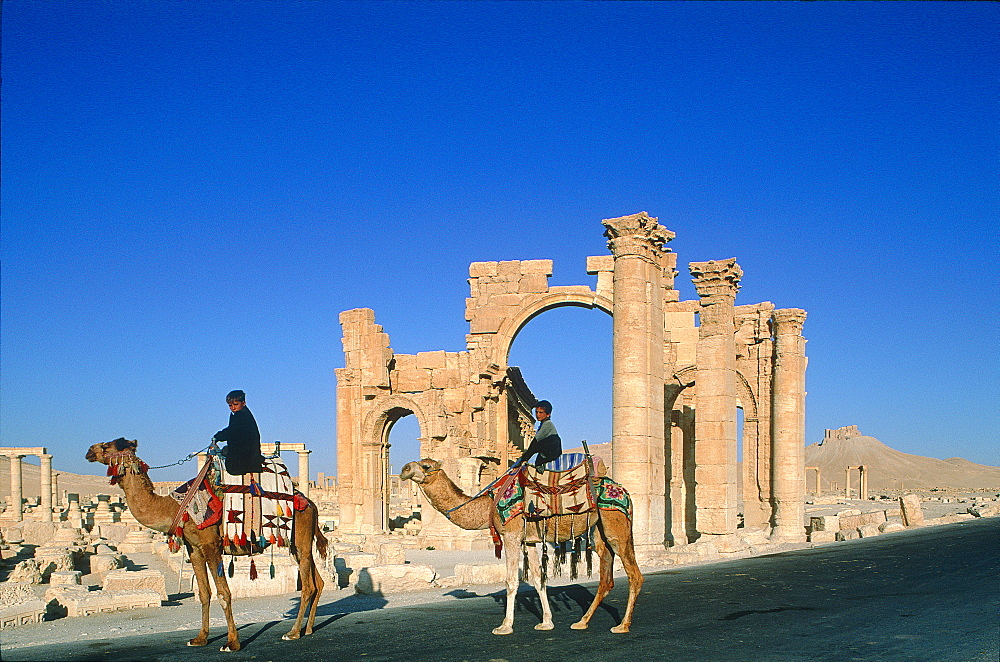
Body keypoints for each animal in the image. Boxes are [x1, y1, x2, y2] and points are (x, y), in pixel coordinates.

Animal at [86, 440, 328, 652]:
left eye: (108, 445)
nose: (89, 451)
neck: (174, 507)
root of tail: (311, 504)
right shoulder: (194, 549)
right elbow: (204, 593)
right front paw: (200, 638)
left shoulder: (211, 545)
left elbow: (223, 593)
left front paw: (232, 643)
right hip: (298, 544)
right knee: (318, 581)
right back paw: (308, 629)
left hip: (300, 536)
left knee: (307, 585)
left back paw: (293, 632)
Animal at [398, 460, 640, 636]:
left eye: (425, 466)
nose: (404, 469)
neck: (488, 505)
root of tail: (626, 493)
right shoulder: (529, 540)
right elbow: (538, 579)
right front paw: (546, 622)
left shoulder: (511, 536)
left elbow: (511, 580)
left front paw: (505, 626)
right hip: (600, 530)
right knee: (606, 577)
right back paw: (582, 622)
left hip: (616, 526)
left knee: (634, 574)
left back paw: (622, 625)